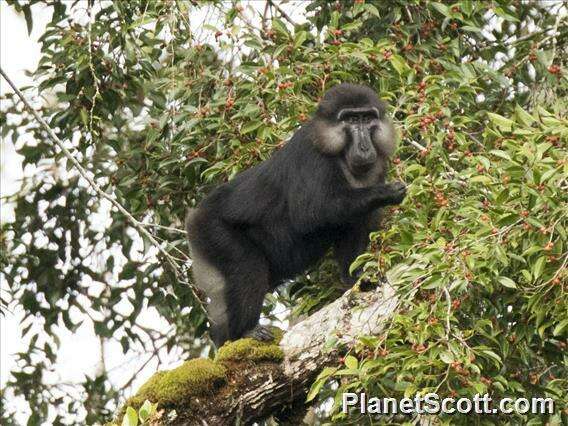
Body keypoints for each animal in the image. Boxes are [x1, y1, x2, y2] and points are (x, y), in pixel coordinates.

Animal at [189, 82, 406, 346]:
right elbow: (310, 213)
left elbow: (354, 226)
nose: (364, 145)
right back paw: (245, 331)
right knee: (247, 266)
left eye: (366, 118)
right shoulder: (311, 156)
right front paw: (386, 192)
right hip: (211, 230)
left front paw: (354, 280)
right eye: (351, 119)